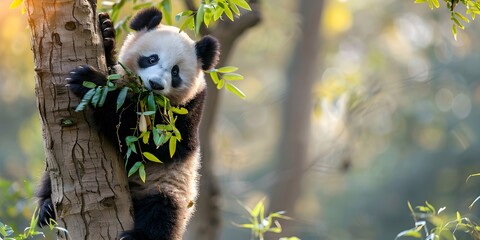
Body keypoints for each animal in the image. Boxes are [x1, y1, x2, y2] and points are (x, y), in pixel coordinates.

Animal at [36, 7, 221, 240]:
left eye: (175, 72)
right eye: (152, 58)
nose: (155, 84)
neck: (144, 99)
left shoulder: (186, 113)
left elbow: (146, 142)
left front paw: (91, 83)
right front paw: (105, 31)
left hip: (167, 185)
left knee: (162, 213)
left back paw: (136, 235)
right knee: (51, 176)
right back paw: (47, 208)